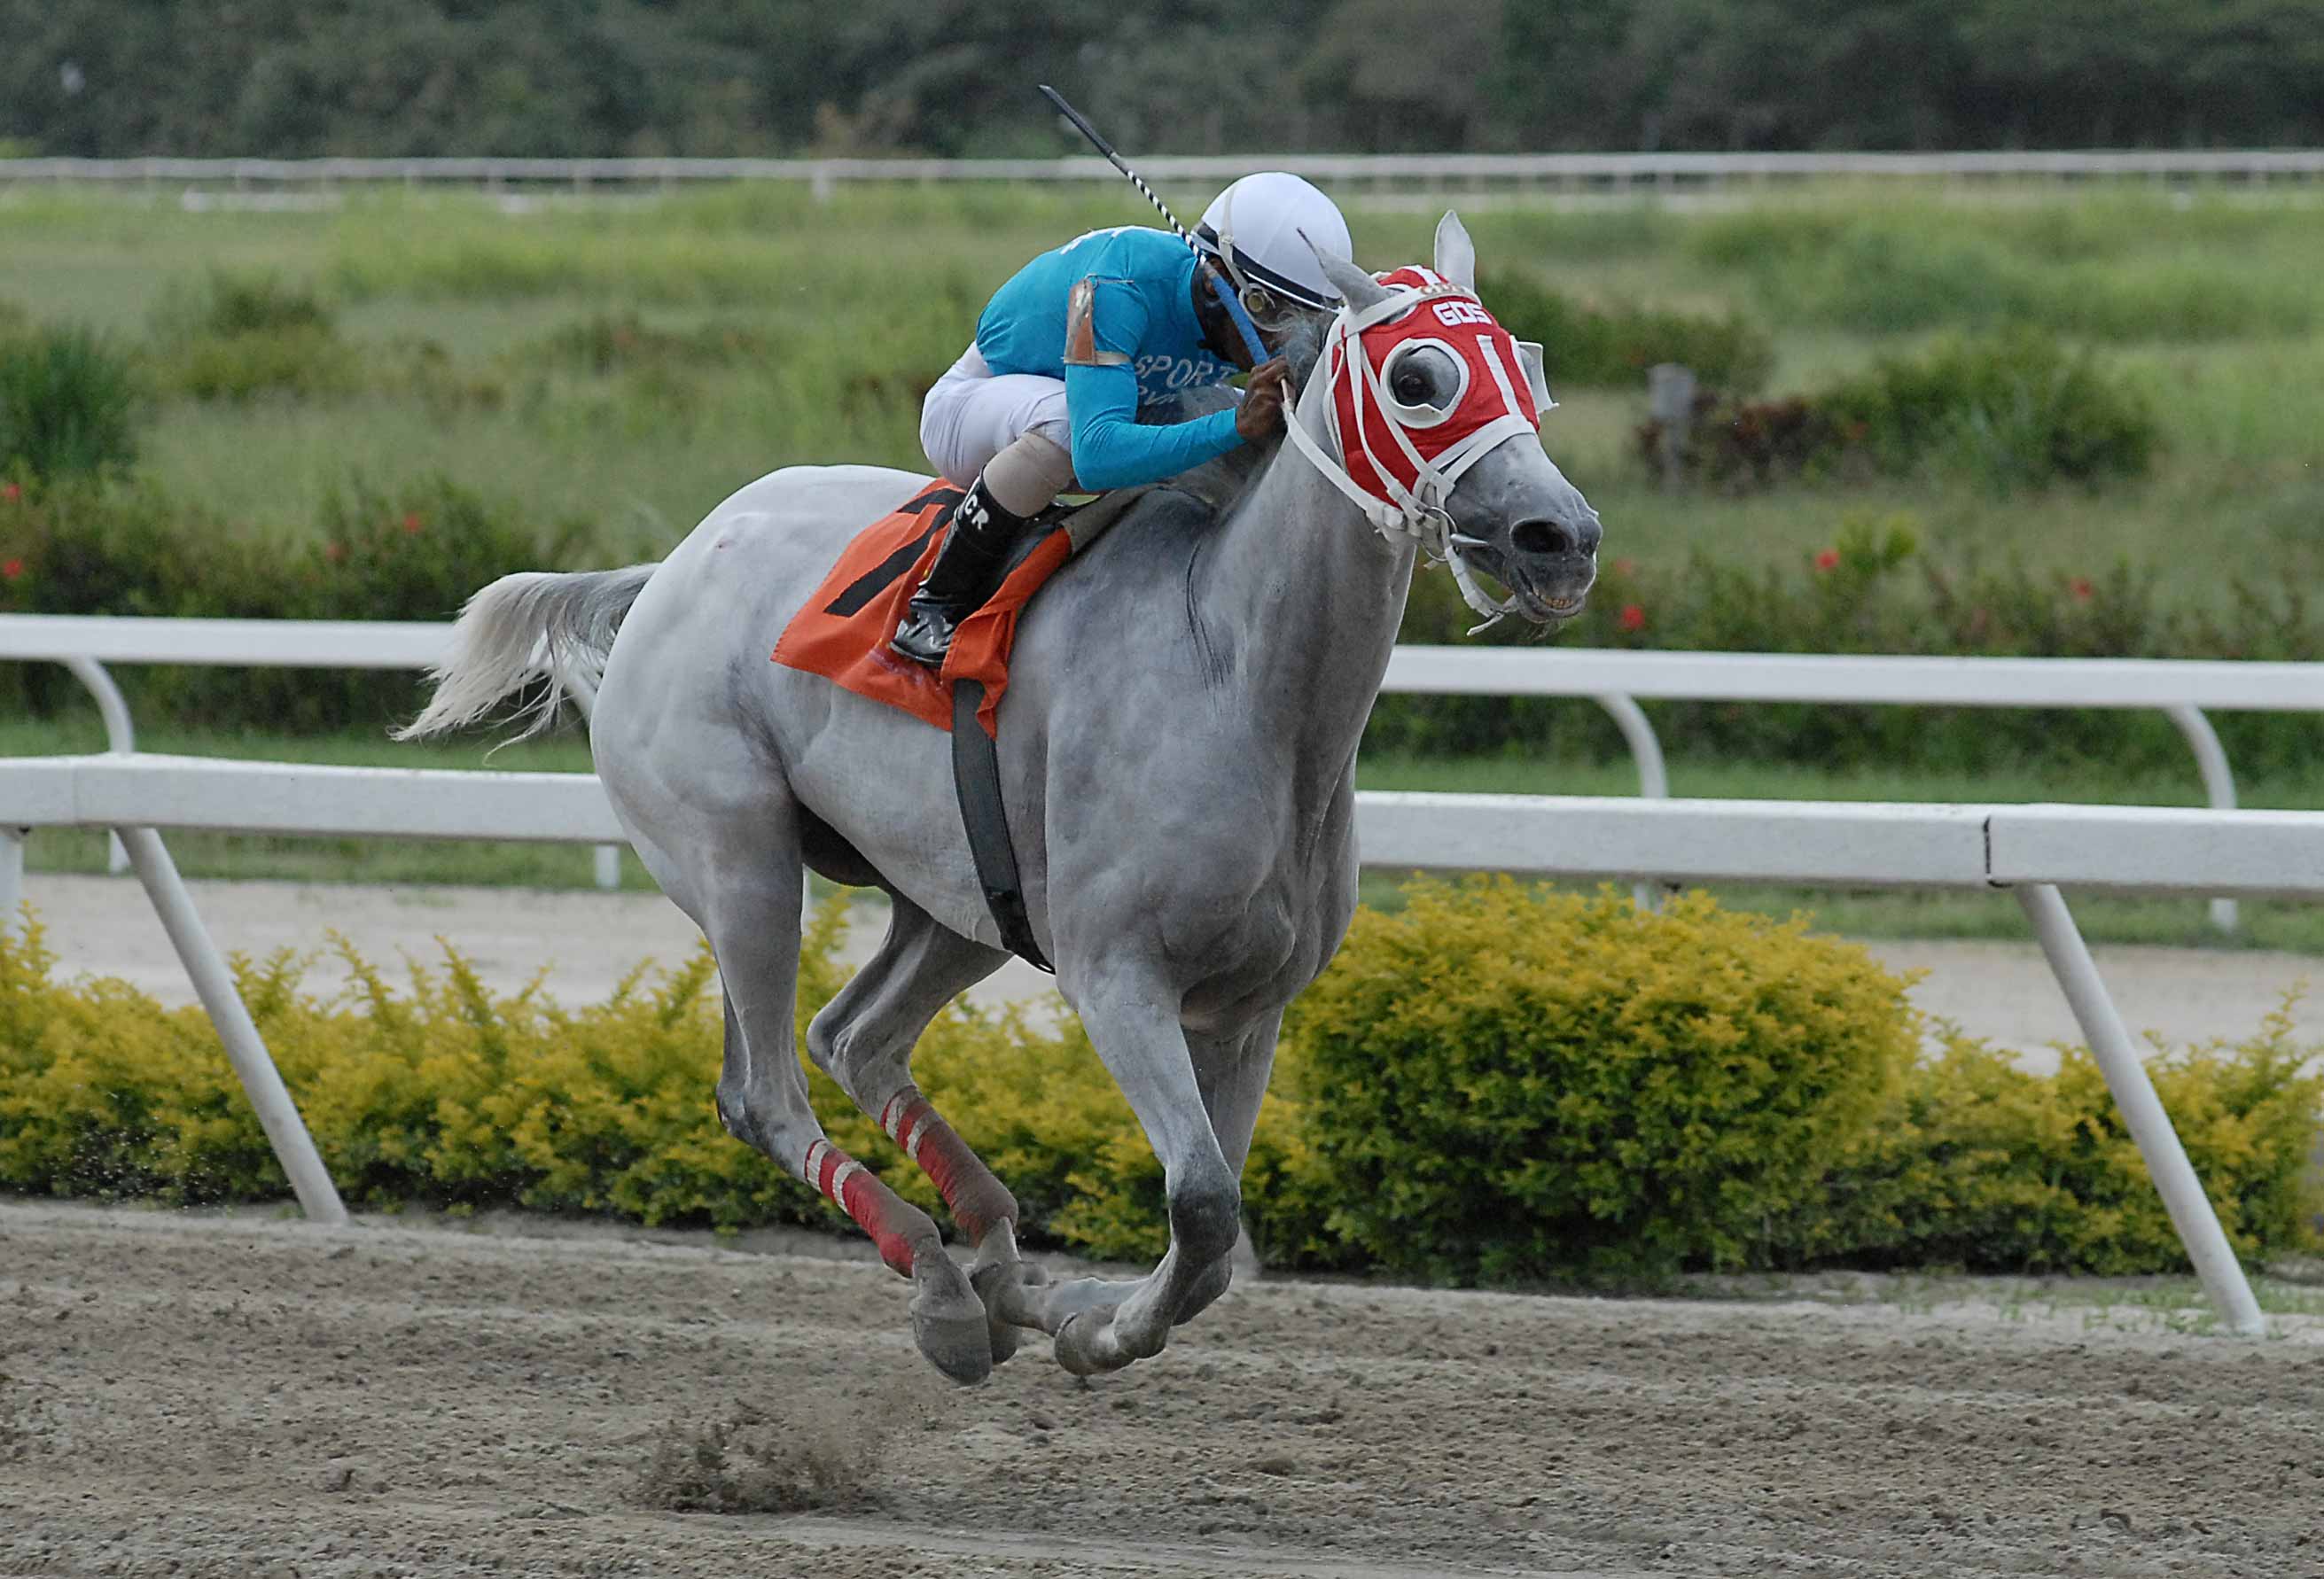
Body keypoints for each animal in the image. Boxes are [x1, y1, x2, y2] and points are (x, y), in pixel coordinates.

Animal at [399, 219, 1598, 1383]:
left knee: (855, 1038)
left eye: (1524, 362)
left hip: (960, 898)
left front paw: (1074, 1305)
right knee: (768, 1092)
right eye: (1418, 378)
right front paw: (1095, 1330)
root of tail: (674, 566)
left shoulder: (1252, 1005)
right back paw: (943, 1287)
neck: (1237, 673)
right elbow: (1205, 1205)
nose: (1563, 538)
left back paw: (998, 1268)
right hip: (740, 863)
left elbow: (1214, 1245)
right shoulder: (1118, 978)